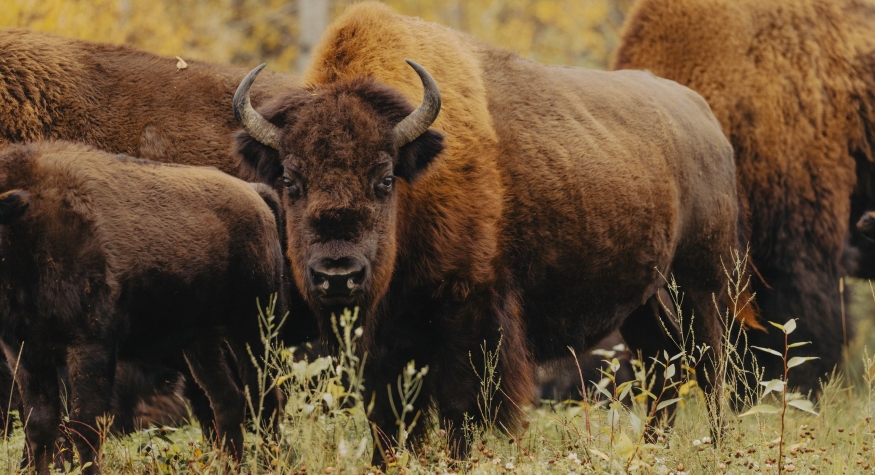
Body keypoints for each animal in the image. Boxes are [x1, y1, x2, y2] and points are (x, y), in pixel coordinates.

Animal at [0, 141, 287, 474]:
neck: (23, 228)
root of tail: (254, 193)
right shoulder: (24, 354)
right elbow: (39, 428)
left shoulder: (89, 348)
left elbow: (84, 427)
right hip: (200, 340)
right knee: (228, 398)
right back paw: (228, 465)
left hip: (252, 326)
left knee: (265, 396)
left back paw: (271, 462)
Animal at [232, 2, 753, 461]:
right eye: (290, 180)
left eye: (384, 178)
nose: (337, 275)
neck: (417, 178)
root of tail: (704, 118)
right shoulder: (381, 344)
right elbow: (388, 420)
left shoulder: (469, 316)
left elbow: (461, 408)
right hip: (646, 299)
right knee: (667, 367)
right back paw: (651, 449)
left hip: (701, 285)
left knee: (711, 365)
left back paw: (718, 445)